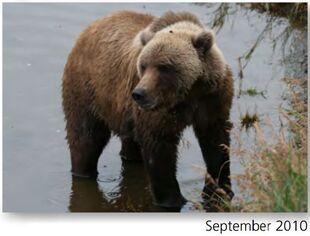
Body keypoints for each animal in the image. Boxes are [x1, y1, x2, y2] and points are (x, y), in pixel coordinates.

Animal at [61, 10, 234, 208]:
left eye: (164, 67)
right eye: (143, 65)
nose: (139, 93)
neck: (188, 93)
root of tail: (90, 28)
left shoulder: (213, 99)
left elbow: (216, 143)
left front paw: (219, 191)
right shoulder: (158, 112)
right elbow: (159, 148)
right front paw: (172, 200)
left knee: (128, 142)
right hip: (88, 90)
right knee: (86, 138)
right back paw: (83, 170)